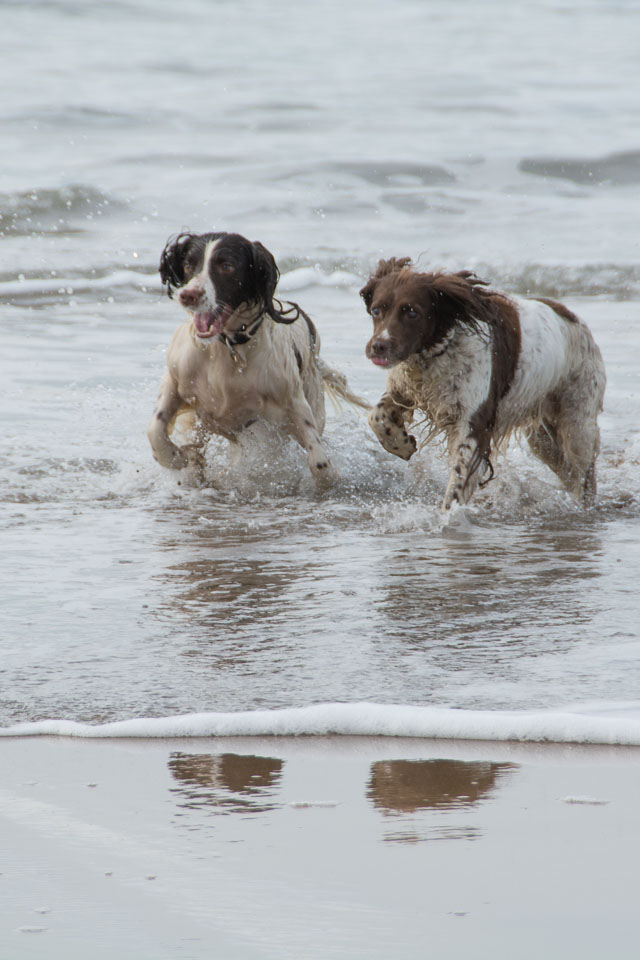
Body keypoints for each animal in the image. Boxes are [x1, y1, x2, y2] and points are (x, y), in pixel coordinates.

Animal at [146, 231, 364, 488]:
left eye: (226, 266)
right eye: (189, 264)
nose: (188, 295)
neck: (228, 349)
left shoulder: (293, 403)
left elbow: (320, 462)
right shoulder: (176, 379)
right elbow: (156, 428)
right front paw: (176, 457)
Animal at [362, 255, 608, 510]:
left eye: (411, 312)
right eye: (376, 310)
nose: (378, 346)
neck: (437, 352)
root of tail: (573, 316)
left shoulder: (474, 423)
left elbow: (458, 483)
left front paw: (447, 516)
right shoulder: (404, 391)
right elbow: (376, 415)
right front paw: (401, 444)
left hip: (578, 423)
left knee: (584, 474)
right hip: (542, 439)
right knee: (567, 470)